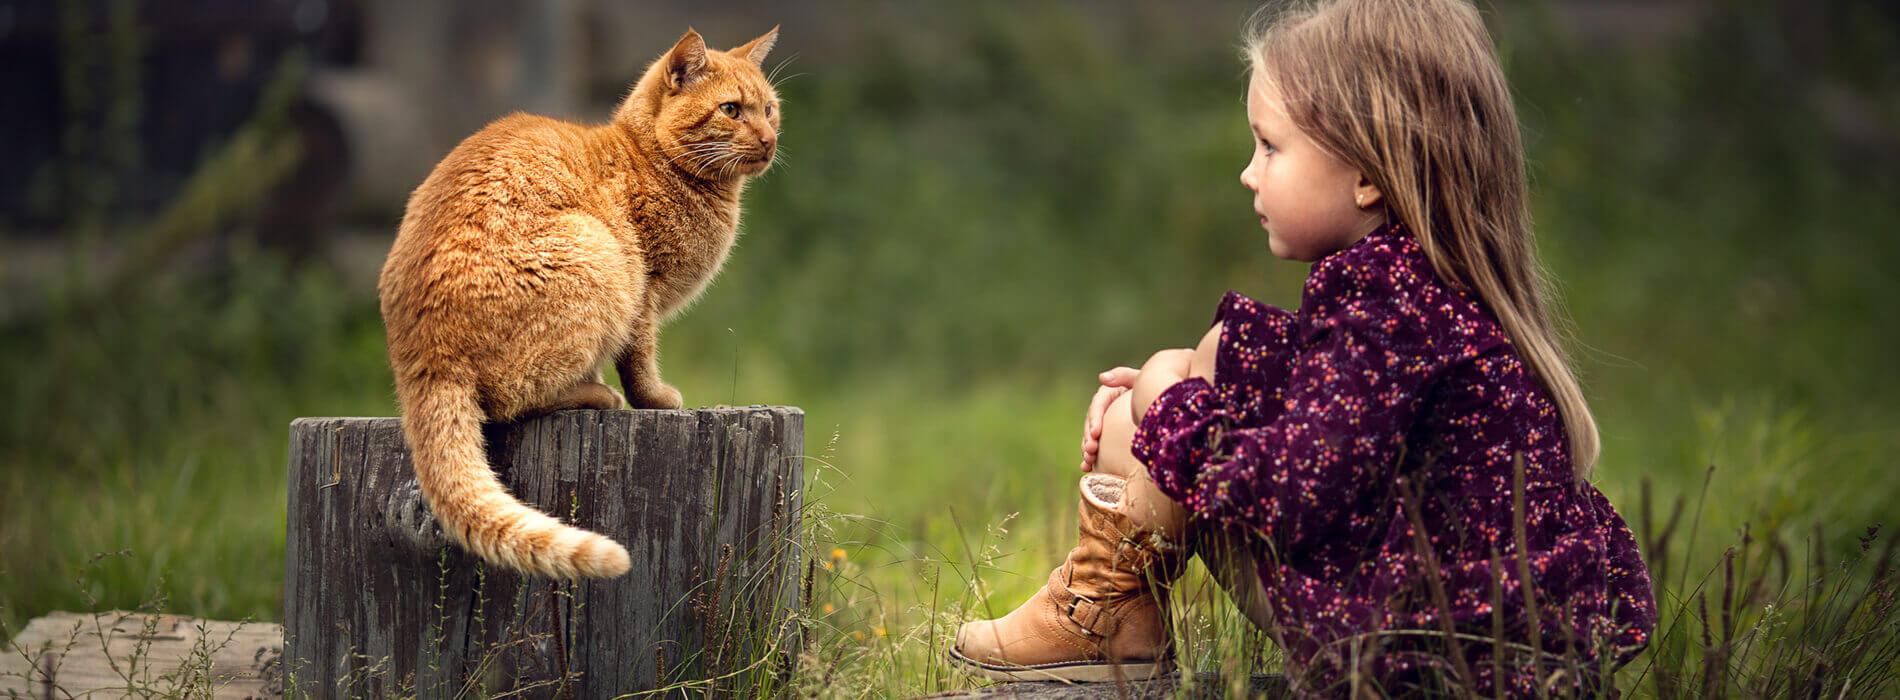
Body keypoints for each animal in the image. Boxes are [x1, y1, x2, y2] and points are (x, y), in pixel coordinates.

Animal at [378, 28, 779, 578]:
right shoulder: (643, 291)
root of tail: (421, 356)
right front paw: (655, 399)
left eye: (770, 109)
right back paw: (596, 394)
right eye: (732, 110)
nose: (769, 139)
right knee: (511, 399)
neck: (652, 160)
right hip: (598, 255)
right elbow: (640, 363)